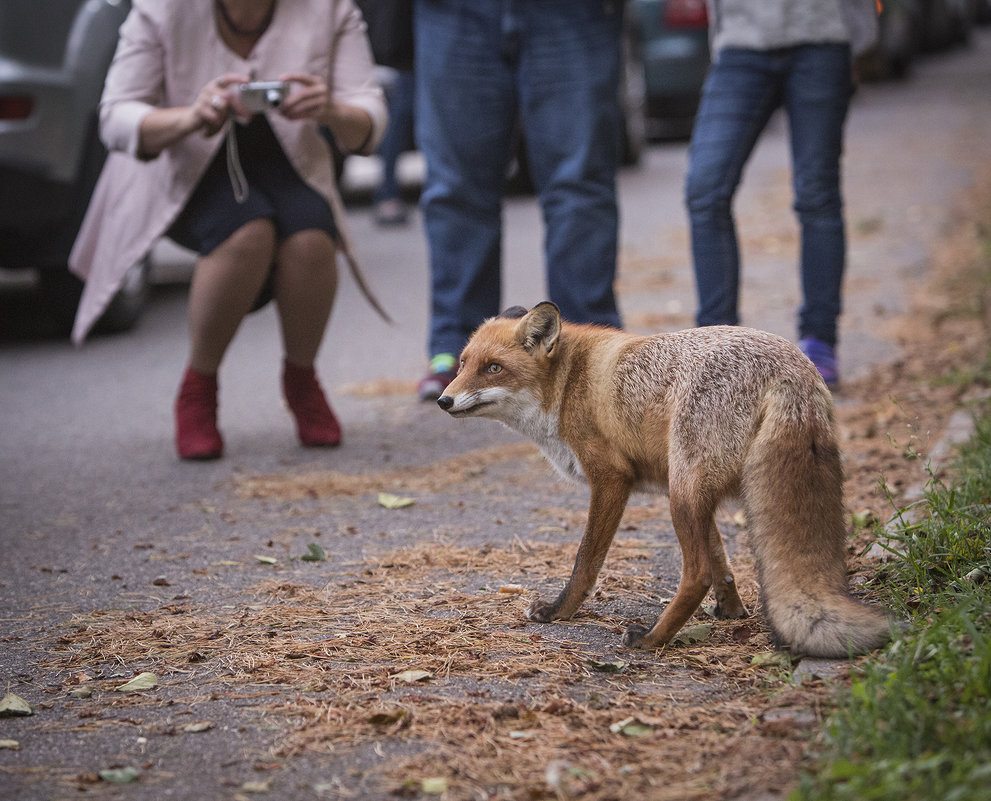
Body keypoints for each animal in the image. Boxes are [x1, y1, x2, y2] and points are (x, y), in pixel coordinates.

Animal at [438, 300, 896, 656]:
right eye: (462, 363)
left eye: (493, 368)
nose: (444, 400)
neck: (567, 384)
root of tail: (792, 368)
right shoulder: (696, 495)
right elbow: (721, 559)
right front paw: (732, 609)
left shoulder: (611, 478)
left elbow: (586, 561)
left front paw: (559, 611)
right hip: (688, 487)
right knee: (707, 565)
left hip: (682, 491)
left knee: (695, 575)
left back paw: (652, 639)